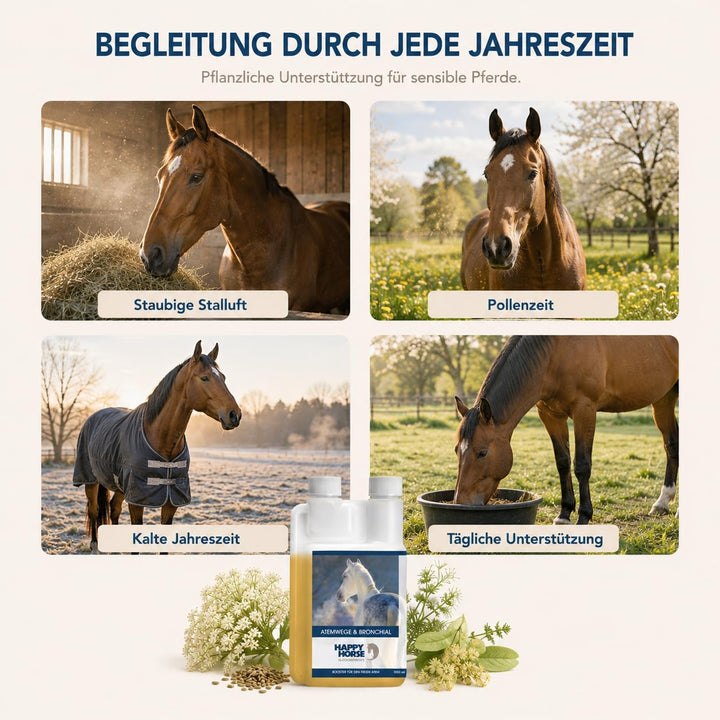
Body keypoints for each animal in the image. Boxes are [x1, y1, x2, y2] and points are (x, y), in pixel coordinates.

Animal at [73, 341, 241, 552]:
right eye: (204, 377)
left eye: (223, 377)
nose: (235, 415)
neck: (161, 439)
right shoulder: (137, 500)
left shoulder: (170, 501)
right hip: (90, 479)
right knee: (95, 510)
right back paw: (95, 544)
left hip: (120, 486)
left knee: (113, 509)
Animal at [453, 336, 678, 525]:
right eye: (457, 450)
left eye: (482, 453)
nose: (461, 503)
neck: (554, 355)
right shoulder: (551, 415)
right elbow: (562, 462)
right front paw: (564, 515)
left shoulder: (584, 410)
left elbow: (582, 465)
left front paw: (584, 516)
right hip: (663, 400)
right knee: (671, 445)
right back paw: (662, 503)